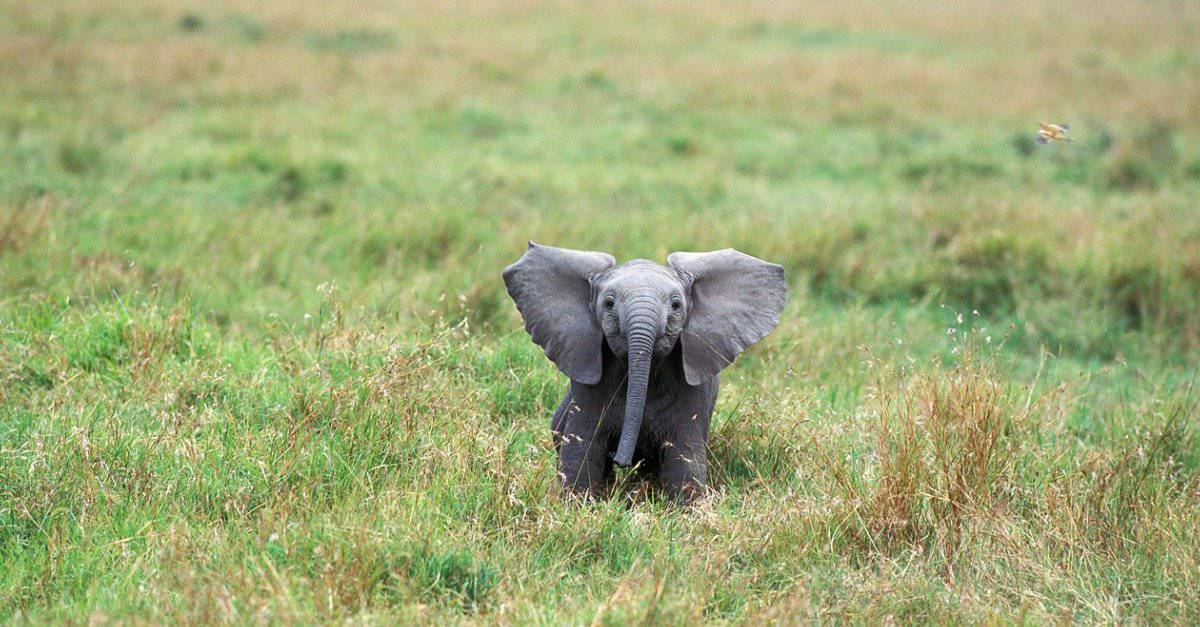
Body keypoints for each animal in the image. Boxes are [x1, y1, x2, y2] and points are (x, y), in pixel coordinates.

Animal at [499, 241, 787, 499]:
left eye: (676, 305)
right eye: (609, 303)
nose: (621, 459)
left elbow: (684, 456)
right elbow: (583, 450)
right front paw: (577, 505)